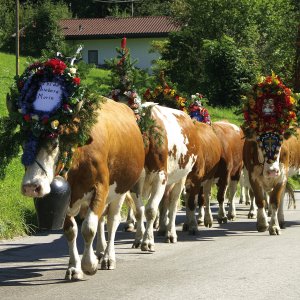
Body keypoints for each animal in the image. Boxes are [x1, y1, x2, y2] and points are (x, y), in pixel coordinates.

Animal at [243, 72, 298, 234]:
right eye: (259, 143)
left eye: (281, 144)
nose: (272, 170)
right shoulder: (253, 176)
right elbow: (260, 200)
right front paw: (262, 223)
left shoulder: (282, 175)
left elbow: (274, 201)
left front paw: (274, 226)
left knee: (280, 198)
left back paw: (281, 220)